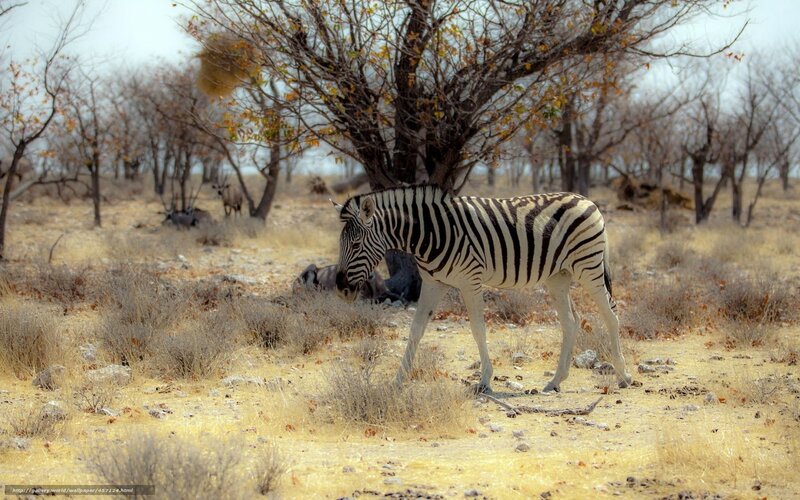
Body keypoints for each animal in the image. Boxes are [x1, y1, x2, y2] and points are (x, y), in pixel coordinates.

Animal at [333, 184, 631, 394]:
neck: (431, 234)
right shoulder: (432, 283)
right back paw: (556, 381)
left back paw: (623, 375)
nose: (341, 289)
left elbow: (478, 329)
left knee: (611, 314)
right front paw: (398, 380)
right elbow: (416, 330)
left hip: (588, 266)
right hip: (558, 276)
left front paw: (485, 380)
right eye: (341, 244)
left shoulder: (470, 280)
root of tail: (587, 200)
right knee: (571, 321)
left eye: (356, 245)